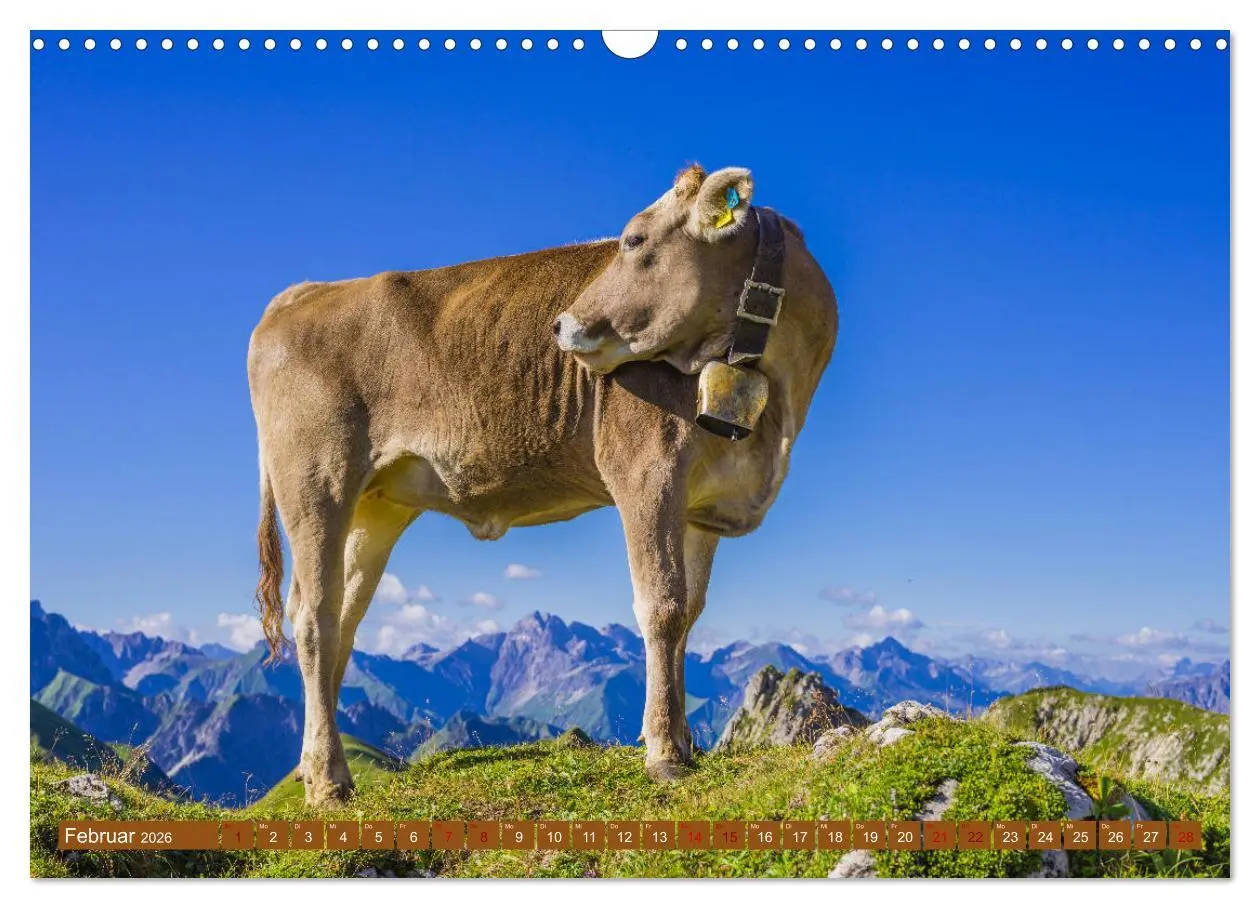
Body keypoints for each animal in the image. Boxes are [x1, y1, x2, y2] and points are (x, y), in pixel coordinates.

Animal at [247, 164, 838, 805]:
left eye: (633, 240)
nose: (559, 324)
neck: (775, 406)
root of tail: (303, 292)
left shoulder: (703, 507)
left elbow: (690, 613)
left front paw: (684, 741)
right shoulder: (646, 473)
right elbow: (661, 606)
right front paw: (663, 751)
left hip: (375, 506)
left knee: (342, 618)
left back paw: (311, 767)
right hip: (316, 481)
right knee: (314, 617)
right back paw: (329, 777)